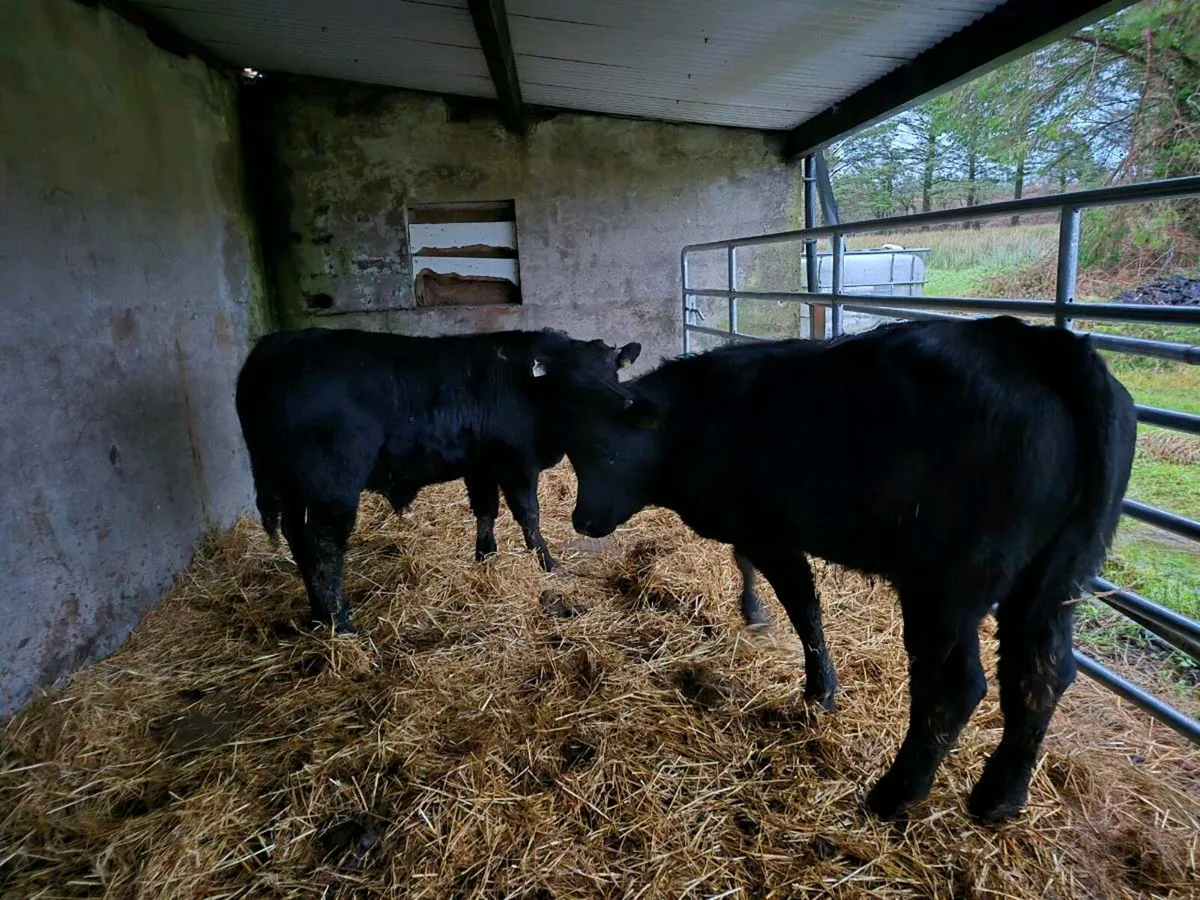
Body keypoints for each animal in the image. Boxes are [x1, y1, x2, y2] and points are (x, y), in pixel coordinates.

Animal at [235, 327, 641, 633]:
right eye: (577, 380)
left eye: (612, 369)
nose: (625, 402)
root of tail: (277, 345)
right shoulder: (517, 463)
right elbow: (529, 515)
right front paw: (547, 563)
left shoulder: (480, 464)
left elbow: (485, 511)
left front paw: (485, 558)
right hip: (331, 486)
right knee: (324, 547)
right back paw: (341, 623)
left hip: (289, 486)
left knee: (297, 539)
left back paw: (319, 614)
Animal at [535, 316, 1136, 824]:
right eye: (572, 450)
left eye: (606, 449)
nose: (584, 519)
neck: (698, 421)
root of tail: (1037, 344)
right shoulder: (753, 527)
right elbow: (751, 569)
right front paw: (753, 613)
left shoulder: (770, 531)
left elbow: (803, 605)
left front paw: (819, 688)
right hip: (1055, 579)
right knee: (1043, 673)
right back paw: (999, 798)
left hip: (947, 584)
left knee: (955, 685)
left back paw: (894, 794)